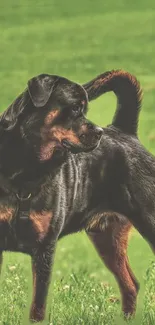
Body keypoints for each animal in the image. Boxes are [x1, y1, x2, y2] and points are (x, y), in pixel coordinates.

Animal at [0, 69, 150, 322]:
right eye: (74, 108)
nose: (99, 131)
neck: (27, 166)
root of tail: (125, 131)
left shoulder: (45, 248)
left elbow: (38, 305)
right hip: (107, 238)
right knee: (131, 284)